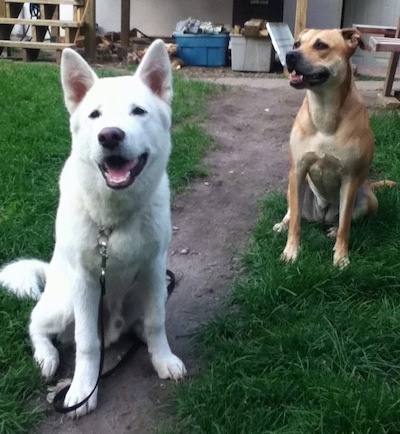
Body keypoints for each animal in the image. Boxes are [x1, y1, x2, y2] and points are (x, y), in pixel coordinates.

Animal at [0, 39, 187, 418]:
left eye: (138, 111)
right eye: (95, 115)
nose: (110, 136)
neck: (113, 218)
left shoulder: (154, 267)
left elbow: (156, 321)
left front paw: (162, 359)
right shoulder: (85, 282)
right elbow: (87, 343)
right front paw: (83, 390)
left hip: (148, 288)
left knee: (142, 320)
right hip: (65, 303)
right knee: (37, 323)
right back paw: (47, 356)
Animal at [274, 28, 386, 268]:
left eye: (321, 45)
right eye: (297, 43)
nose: (289, 55)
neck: (323, 111)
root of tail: (321, 216)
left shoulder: (350, 179)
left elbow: (345, 225)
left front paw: (341, 257)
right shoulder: (297, 171)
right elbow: (296, 221)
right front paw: (291, 251)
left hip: (368, 198)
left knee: (345, 220)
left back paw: (333, 231)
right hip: (293, 187)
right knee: (293, 211)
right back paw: (283, 224)